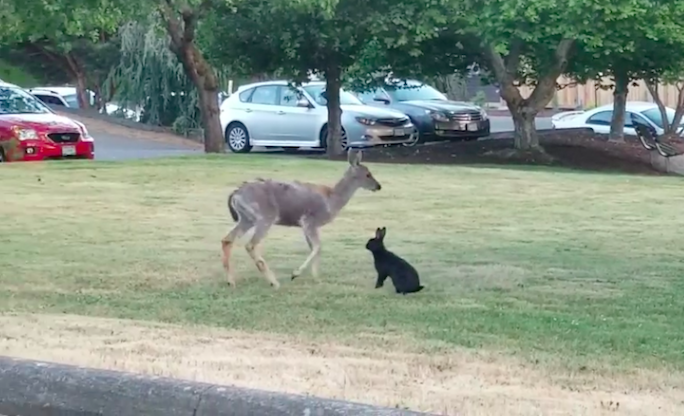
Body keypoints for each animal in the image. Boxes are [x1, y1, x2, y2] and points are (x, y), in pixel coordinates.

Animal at [221, 149, 381, 289]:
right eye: (368, 174)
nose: (378, 186)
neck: (332, 200)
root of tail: (235, 194)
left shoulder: (306, 225)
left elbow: (316, 247)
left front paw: (316, 277)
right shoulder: (310, 220)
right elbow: (317, 246)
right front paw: (295, 274)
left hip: (246, 218)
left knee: (227, 239)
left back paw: (231, 281)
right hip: (265, 216)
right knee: (250, 245)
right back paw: (274, 282)